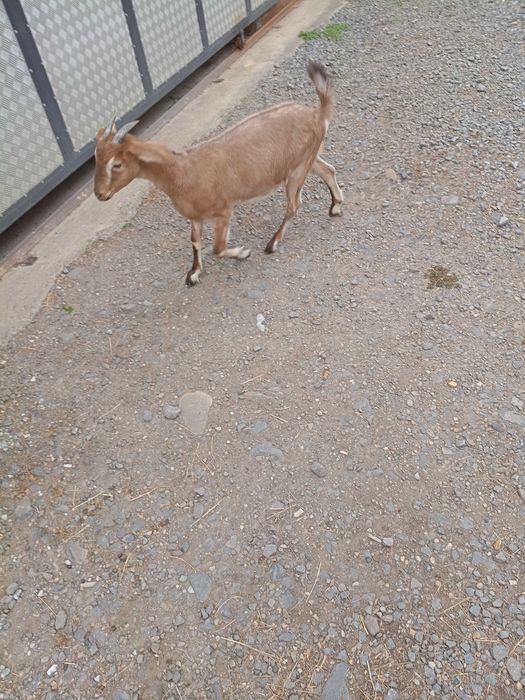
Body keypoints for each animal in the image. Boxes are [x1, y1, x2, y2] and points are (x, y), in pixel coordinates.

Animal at [94, 61, 343, 286]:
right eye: (97, 158)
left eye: (116, 164)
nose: (99, 194)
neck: (183, 172)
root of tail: (316, 113)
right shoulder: (195, 217)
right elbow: (195, 241)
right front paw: (193, 274)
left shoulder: (224, 211)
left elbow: (218, 248)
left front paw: (243, 253)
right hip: (306, 160)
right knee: (328, 170)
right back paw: (335, 207)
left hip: (297, 170)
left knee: (294, 205)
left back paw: (272, 243)